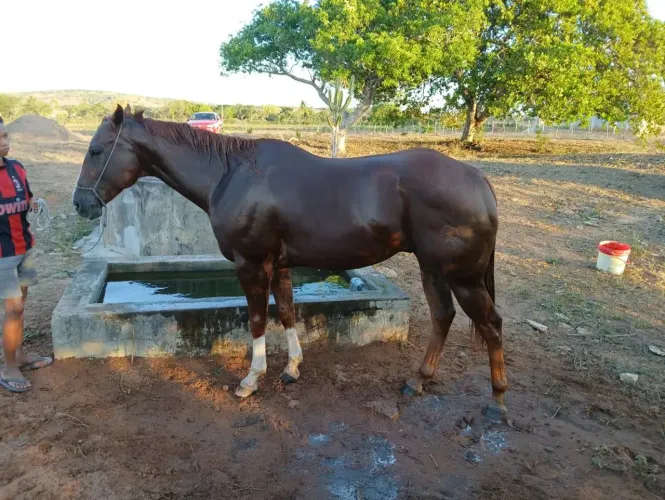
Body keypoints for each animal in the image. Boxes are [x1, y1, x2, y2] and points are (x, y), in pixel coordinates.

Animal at [72, 104, 508, 419]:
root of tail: (477, 179)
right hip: (433, 270)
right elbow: (286, 312)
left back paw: (497, 402)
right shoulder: (280, 265)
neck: (230, 175)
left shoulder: (250, 264)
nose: (81, 204)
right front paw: (292, 369)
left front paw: (251, 379)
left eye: (96, 151)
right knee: (442, 317)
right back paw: (418, 381)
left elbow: (257, 319)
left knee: (491, 324)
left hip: (463, 277)